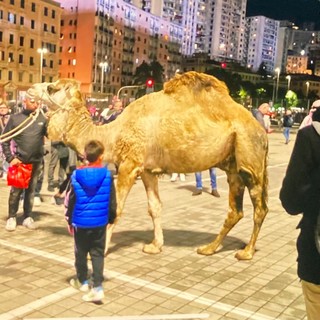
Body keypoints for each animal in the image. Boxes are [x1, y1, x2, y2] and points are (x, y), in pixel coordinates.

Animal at [29, 72, 270, 260]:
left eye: (51, 87)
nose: (30, 89)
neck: (112, 134)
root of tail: (261, 129)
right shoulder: (146, 170)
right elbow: (155, 207)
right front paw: (155, 246)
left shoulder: (129, 165)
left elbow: (116, 209)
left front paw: (100, 250)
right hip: (234, 166)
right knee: (235, 210)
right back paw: (209, 248)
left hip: (250, 158)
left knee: (260, 207)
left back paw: (246, 252)